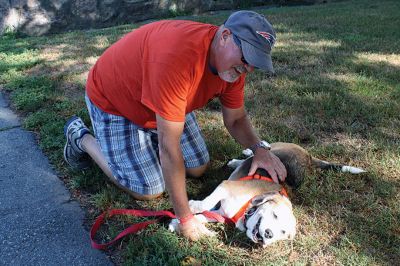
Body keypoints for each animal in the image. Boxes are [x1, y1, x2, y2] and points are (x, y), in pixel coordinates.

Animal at [169, 142, 366, 246]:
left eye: (282, 232)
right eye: (275, 215)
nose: (269, 234)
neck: (246, 208)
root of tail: (308, 158)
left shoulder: (220, 213)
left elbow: (202, 216)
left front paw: (177, 224)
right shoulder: (225, 187)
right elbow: (203, 204)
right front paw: (191, 207)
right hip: (276, 148)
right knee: (263, 148)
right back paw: (250, 151)